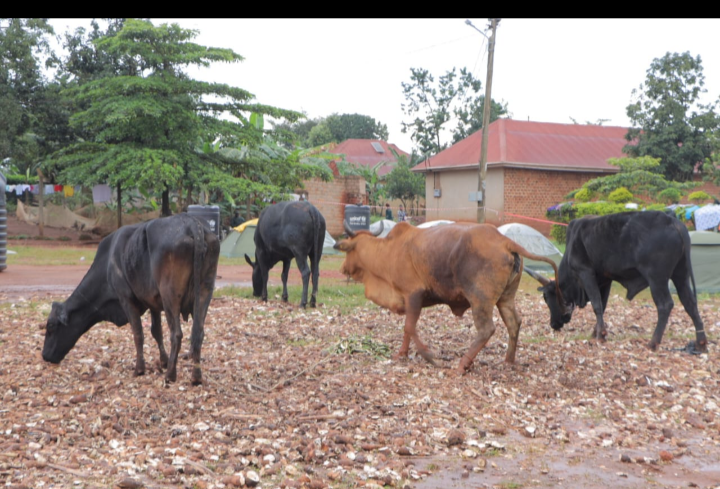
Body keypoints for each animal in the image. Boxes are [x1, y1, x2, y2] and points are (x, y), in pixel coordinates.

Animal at [42, 214, 219, 386]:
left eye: (51, 326)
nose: (44, 355)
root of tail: (191, 222)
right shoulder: (153, 302)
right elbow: (156, 332)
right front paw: (163, 361)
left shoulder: (126, 299)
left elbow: (138, 333)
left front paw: (140, 369)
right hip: (205, 290)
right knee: (198, 333)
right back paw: (196, 376)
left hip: (170, 295)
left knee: (176, 333)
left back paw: (170, 375)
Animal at [334, 219, 564, 372]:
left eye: (348, 250)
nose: (343, 268)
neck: (390, 251)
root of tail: (505, 241)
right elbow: (408, 330)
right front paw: (402, 353)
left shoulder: (414, 294)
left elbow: (409, 327)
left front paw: (428, 356)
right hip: (505, 299)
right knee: (514, 323)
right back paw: (509, 360)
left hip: (480, 300)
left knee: (486, 330)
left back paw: (463, 363)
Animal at [524, 210, 704, 350]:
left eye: (546, 298)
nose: (553, 324)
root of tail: (673, 221)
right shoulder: (605, 279)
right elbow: (602, 305)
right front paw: (597, 332)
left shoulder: (585, 273)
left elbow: (596, 304)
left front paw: (600, 335)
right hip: (681, 275)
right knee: (690, 304)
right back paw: (701, 343)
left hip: (656, 279)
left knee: (665, 305)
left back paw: (653, 343)